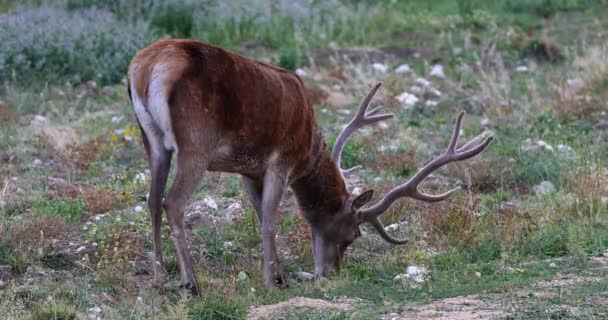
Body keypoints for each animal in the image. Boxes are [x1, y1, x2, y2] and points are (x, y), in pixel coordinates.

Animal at [126, 38, 492, 296]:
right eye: (353, 234)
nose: (332, 272)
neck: (309, 148)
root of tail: (144, 68)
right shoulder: (281, 159)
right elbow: (270, 218)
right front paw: (273, 280)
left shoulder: (249, 170)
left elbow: (259, 212)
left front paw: (277, 272)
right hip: (196, 144)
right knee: (172, 202)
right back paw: (191, 283)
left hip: (153, 142)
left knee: (152, 201)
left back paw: (159, 275)